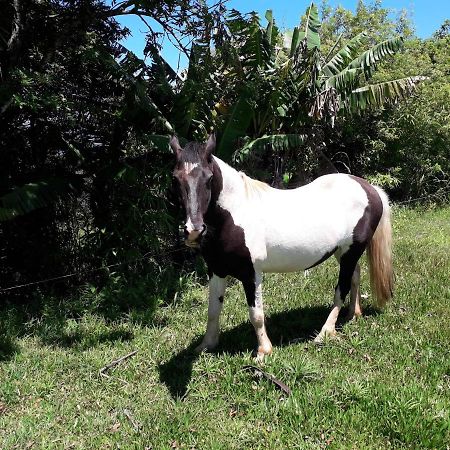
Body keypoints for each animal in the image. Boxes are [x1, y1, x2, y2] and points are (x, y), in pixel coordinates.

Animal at [172, 134, 394, 358]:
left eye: (209, 178)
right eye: (175, 178)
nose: (194, 230)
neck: (234, 215)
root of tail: (370, 189)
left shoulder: (251, 274)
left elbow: (256, 314)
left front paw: (264, 351)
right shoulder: (217, 270)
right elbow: (213, 311)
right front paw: (206, 345)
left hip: (351, 251)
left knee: (342, 287)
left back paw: (325, 332)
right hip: (344, 252)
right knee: (355, 275)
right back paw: (352, 315)